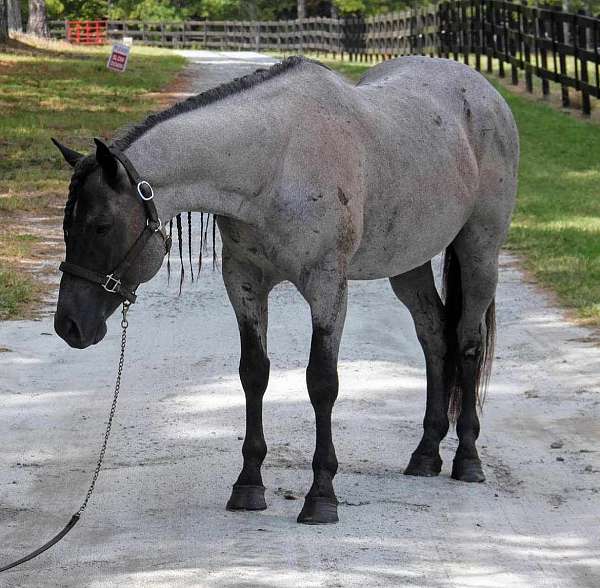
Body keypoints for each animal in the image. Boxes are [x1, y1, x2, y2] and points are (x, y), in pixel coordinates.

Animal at [51, 54, 516, 524]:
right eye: (67, 226)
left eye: (101, 225)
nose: (68, 326)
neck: (277, 161)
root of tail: (484, 91)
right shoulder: (244, 282)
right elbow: (253, 374)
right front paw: (248, 484)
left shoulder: (327, 287)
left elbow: (321, 382)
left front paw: (321, 495)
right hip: (409, 264)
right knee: (434, 336)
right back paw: (425, 453)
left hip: (479, 251)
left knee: (467, 341)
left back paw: (467, 458)